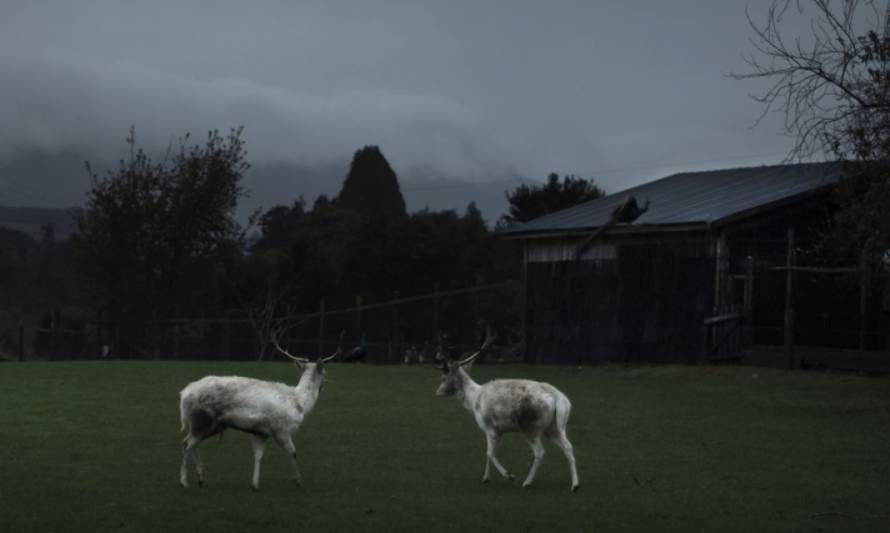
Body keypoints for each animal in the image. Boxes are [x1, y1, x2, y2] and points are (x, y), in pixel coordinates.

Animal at [179, 330, 342, 488]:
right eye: (325, 372)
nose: (327, 382)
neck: (301, 404)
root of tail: (184, 395)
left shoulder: (261, 433)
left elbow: (259, 456)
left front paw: (255, 484)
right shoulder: (283, 431)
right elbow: (293, 453)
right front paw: (297, 481)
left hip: (213, 425)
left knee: (190, 442)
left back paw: (200, 477)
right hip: (202, 419)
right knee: (187, 443)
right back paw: (184, 481)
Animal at [436, 328, 580, 490]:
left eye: (443, 377)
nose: (438, 392)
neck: (474, 401)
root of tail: (560, 399)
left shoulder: (490, 427)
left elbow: (490, 453)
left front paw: (509, 476)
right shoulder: (499, 430)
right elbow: (489, 453)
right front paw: (486, 478)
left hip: (531, 427)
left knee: (540, 452)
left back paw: (527, 482)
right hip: (555, 427)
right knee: (568, 447)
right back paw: (575, 485)